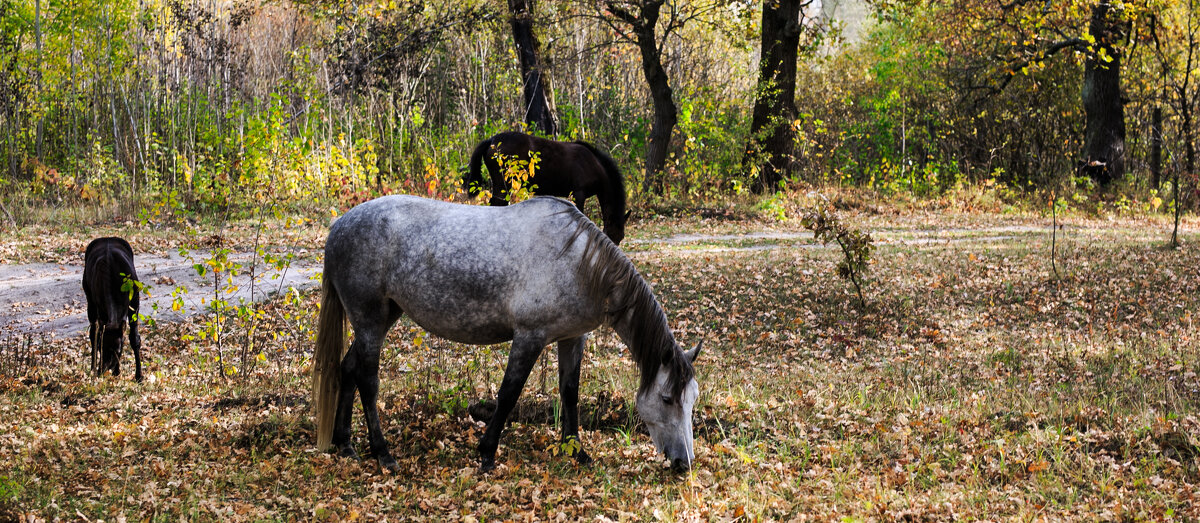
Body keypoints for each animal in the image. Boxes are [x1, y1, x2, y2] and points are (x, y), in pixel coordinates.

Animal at [82, 237, 144, 379]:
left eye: (118, 348)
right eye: (101, 347)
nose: (103, 369)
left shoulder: (135, 301)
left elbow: (134, 338)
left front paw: (139, 376)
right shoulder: (100, 307)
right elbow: (96, 334)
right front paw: (117, 371)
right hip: (89, 298)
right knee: (92, 331)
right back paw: (92, 368)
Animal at [314, 196, 700, 475]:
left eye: (692, 399)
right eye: (667, 398)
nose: (684, 464)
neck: (579, 263)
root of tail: (338, 228)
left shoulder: (572, 338)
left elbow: (570, 393)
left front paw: (577, 451)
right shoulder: (529, 337)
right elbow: (509, 393)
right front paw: (486, 454)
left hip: (383, 317)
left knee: (348, 369)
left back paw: (345, 444)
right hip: (370, 320)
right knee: (367, 380)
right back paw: (382, 454)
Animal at [463, 130, 628, 244]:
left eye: (621, 238)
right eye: (612, 236)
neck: (594, 165)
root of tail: (491, 140)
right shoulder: (578, 194)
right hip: (503, 185)